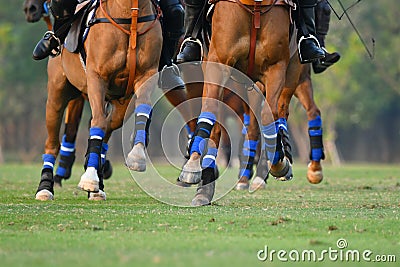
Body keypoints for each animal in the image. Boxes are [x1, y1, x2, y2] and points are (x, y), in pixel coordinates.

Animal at [27, 0, 163, 201]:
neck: (129, 15)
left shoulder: (147, 74)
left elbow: (142, 111)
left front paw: (136, 157)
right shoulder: (96, 77)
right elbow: (97, 122)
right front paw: (90, 177)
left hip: (120, 103)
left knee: (109, 126)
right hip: (57, 94)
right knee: (52, 143)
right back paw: (45, 187)